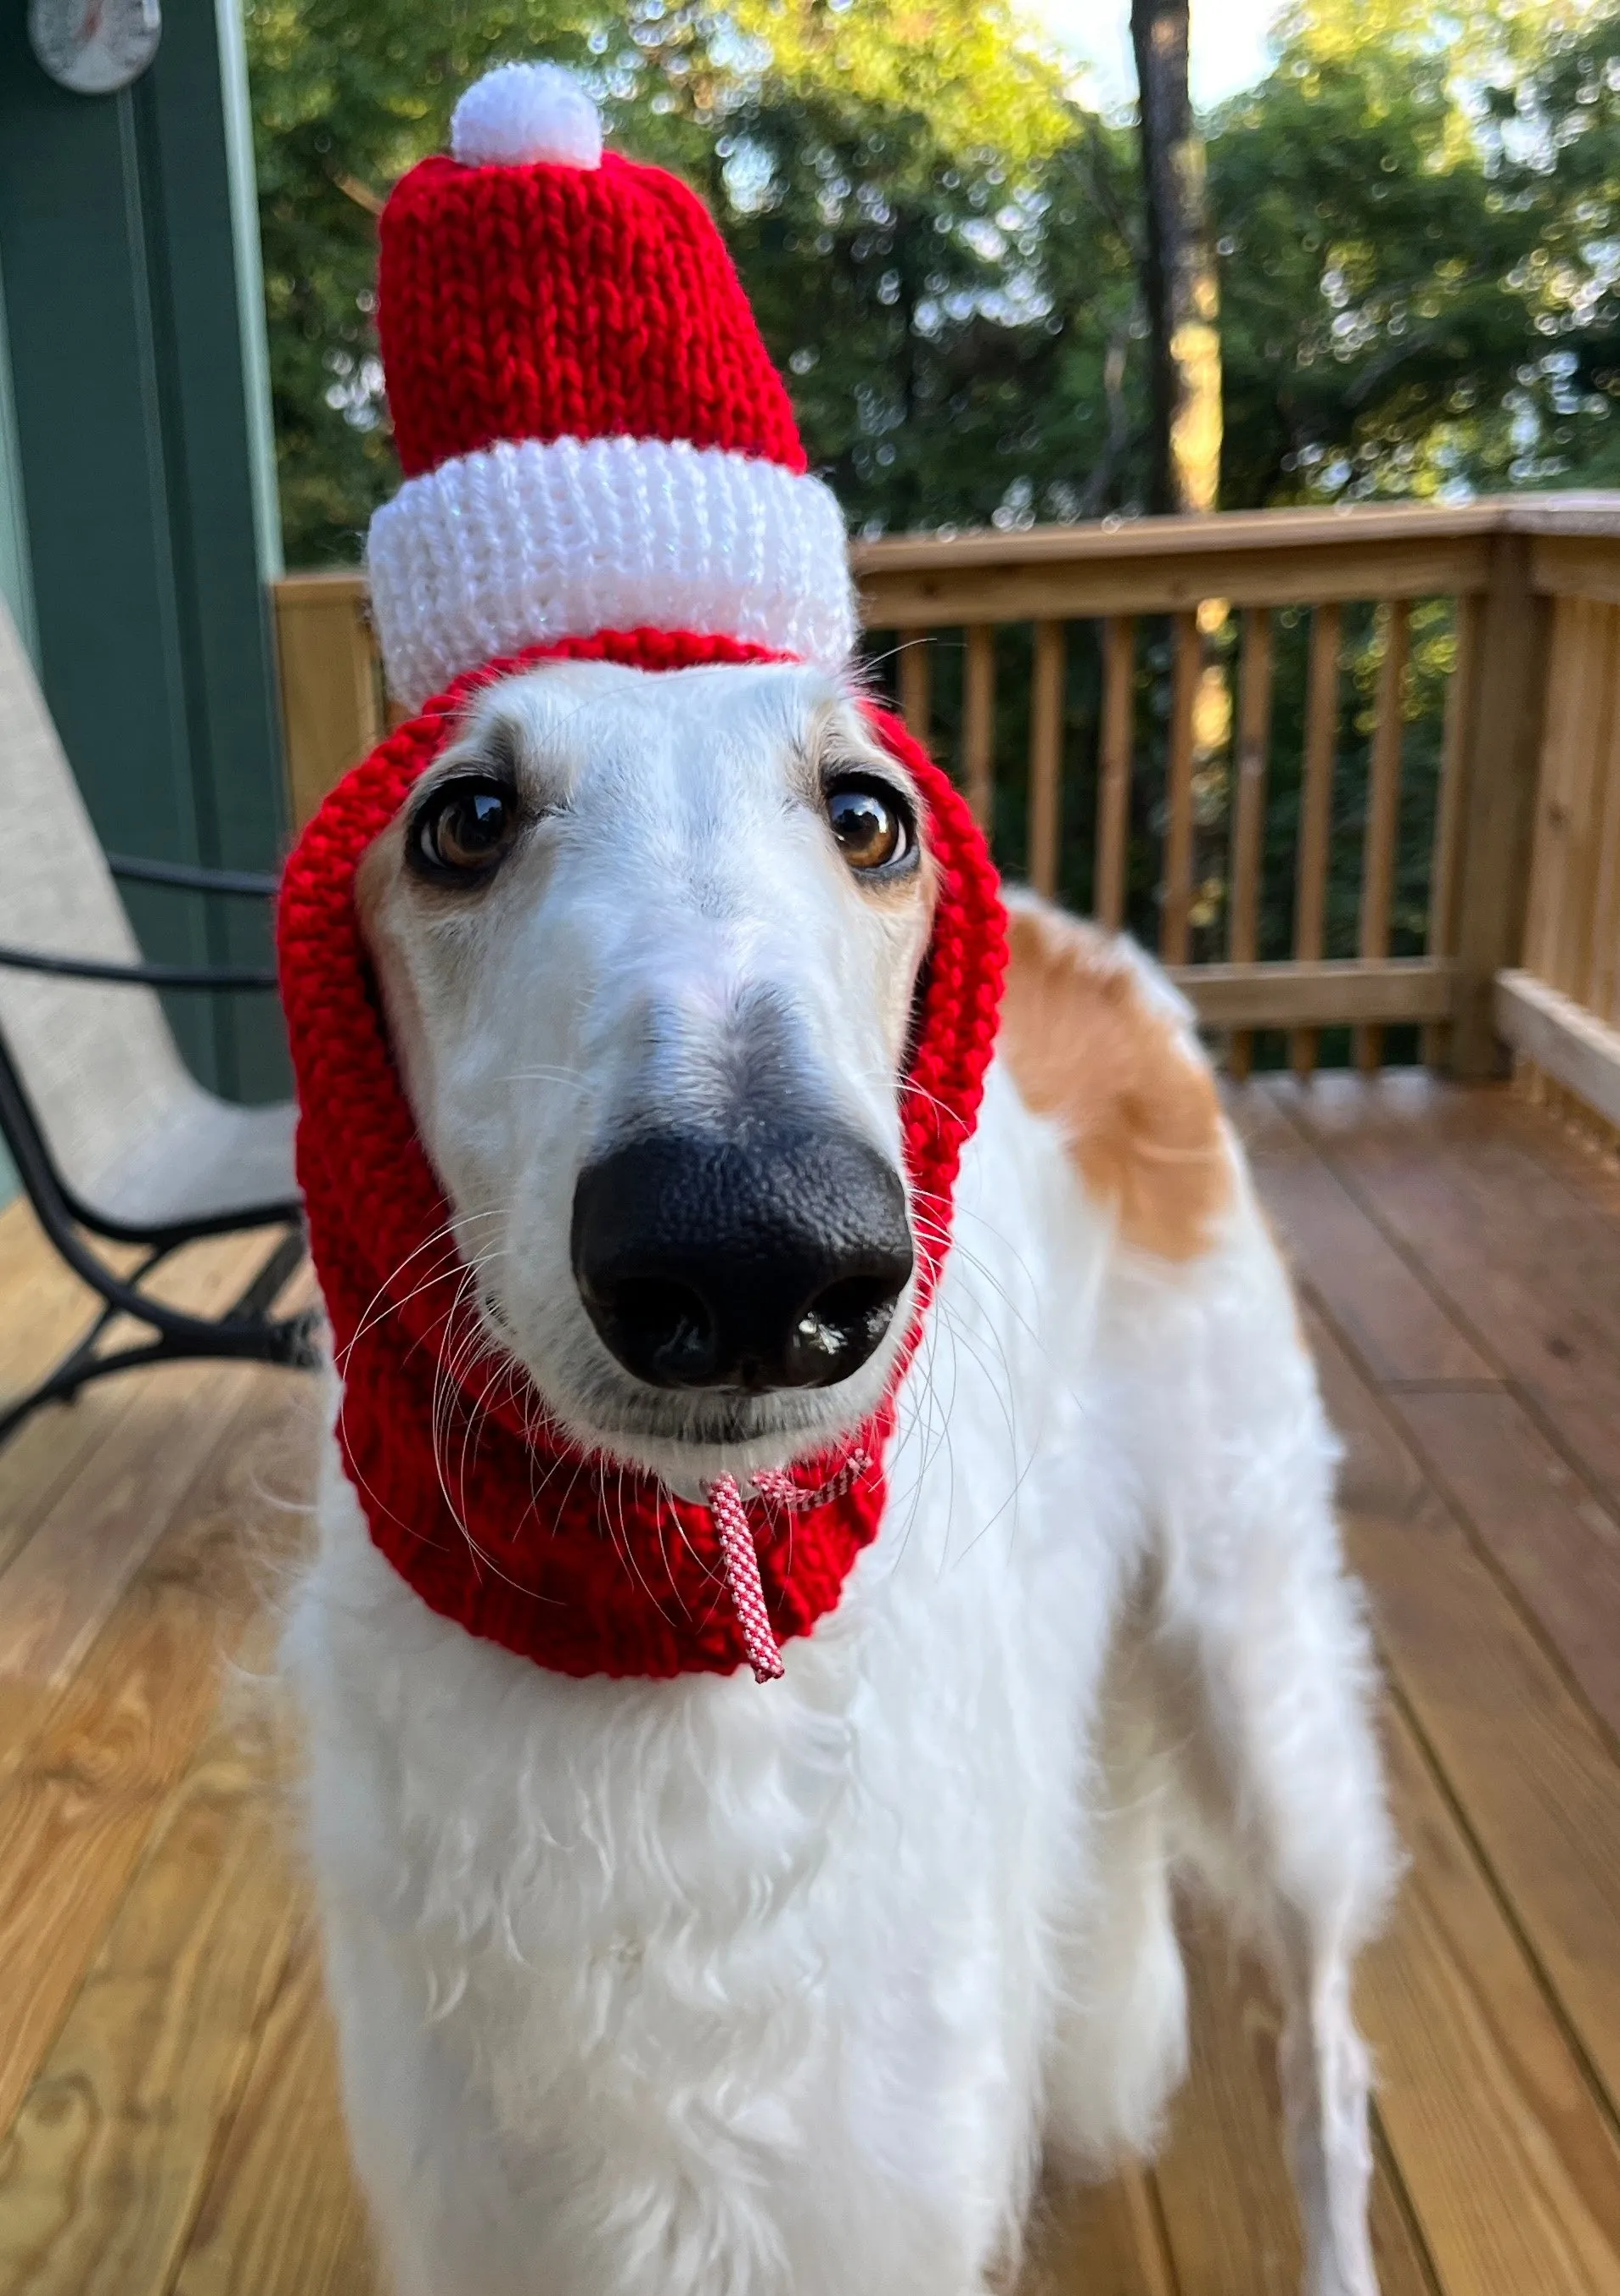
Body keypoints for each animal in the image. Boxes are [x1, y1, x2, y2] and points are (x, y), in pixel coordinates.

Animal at [281, 652, 1387, 2296]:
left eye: (867, 813)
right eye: (463, 817)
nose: (756, 1249)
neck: (665, 1647)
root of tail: (1096, 954)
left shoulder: (877, 2203)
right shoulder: (479, 2215)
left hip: (1258, 1666)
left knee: (1323, 2056)